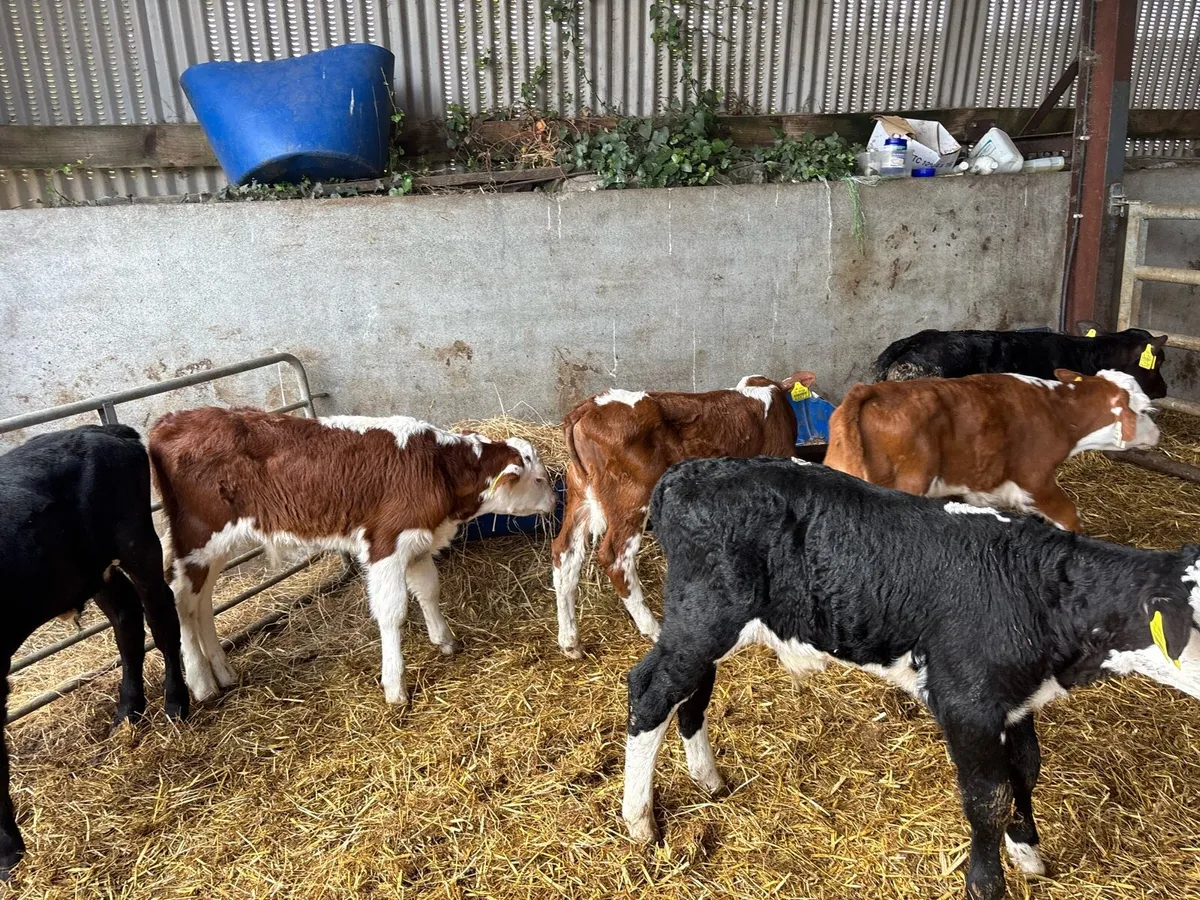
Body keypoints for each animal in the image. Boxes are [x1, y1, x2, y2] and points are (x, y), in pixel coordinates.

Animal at [0, 424, 188, 875]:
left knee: (160, 617)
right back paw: (128, 712)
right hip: (91, 572)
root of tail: (98, 429)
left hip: (137, 544)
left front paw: (8, 850)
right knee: (126, 620)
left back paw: (175, 702)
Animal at [148, 407, 556, 707]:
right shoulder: (386, 545)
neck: (437, 467)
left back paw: (222, 671)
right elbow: (393, 612)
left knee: (201, 602)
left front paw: (445, 641)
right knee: (181, 600)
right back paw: (201, 681)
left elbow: (428, 590)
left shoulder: (417, 542)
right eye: (537, 479)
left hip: (214, 547)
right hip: (197, 536)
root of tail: (173, 419)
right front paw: (395, 687)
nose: (555, 501)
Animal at [550, 372, 814, 658]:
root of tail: (589, 406)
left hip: (580, 494)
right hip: (632, 497)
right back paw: (653, 629)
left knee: (565, 554)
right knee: (616, 559)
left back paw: (570, 641)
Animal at [622, 455, 1198, 900]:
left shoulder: (1015, 702)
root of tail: (685, 471)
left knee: (691, 693)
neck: (1040, 588)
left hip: (708, 625)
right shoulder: (965, 702)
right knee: (650, 693)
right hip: (704, 617)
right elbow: (988, 797)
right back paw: (639, 822)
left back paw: (708, 779)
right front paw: (986, 884)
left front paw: (1029, 853)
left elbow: (1025, 771)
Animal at [823, 369, 1160, 532]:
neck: (1059, 411)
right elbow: (1070, 518)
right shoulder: (1036, 480)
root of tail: (871, 390)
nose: (1157, 434)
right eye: (1145, 410)